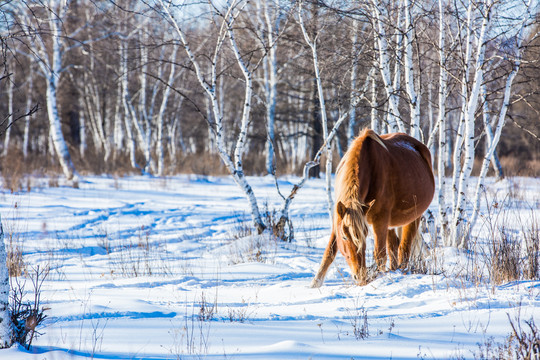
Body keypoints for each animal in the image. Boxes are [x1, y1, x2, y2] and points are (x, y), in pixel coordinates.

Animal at [310, 129, 432, 286]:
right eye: (344, 237)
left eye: (364, 235)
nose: (360, 276)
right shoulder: (337, 221)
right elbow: (328, 253)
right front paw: (315, 284)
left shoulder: (379, 221)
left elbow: (380, 255)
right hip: (391, 225)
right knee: (394, 250)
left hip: (412, 219)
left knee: (403, 251)